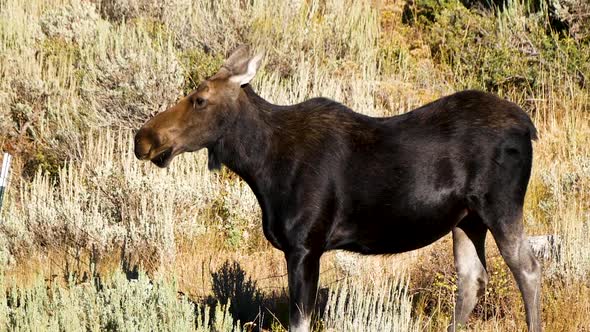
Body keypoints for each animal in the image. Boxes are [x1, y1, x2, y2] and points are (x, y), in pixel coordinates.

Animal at [136, 46, 544, 332]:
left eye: (199, 99)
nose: (144, 139)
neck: (261, 167)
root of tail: (528, 125)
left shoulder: (305, 246)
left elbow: (299, 321)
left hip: (500, 205)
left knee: (528, 269)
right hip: (466, 218)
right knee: (472, 279)